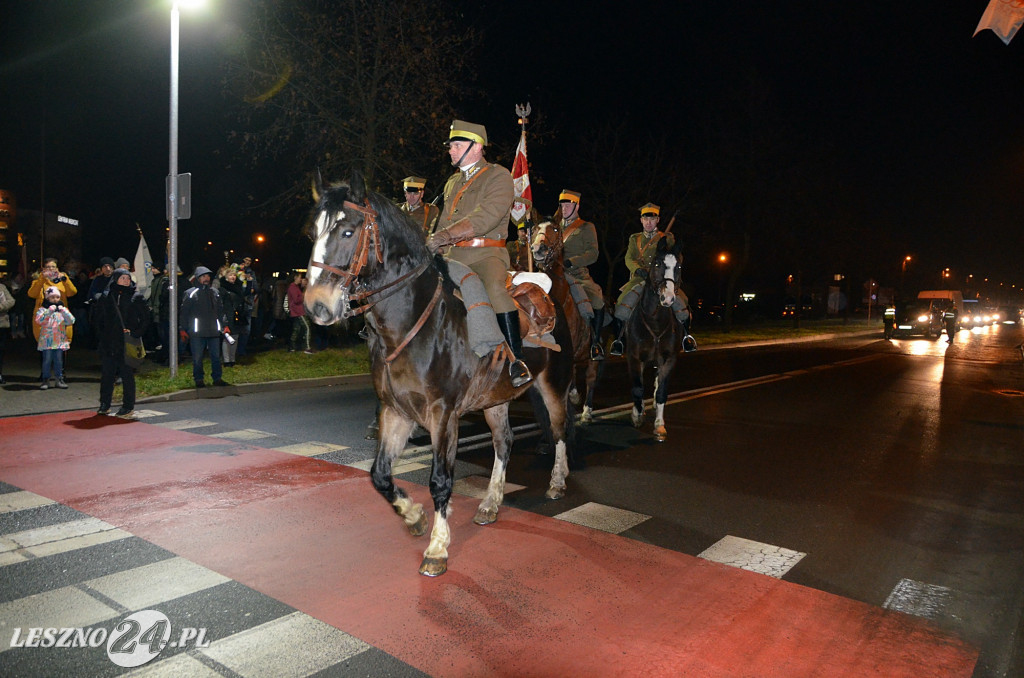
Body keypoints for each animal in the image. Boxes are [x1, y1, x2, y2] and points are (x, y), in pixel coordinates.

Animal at [301, 171, 577, 577]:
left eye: (348, 231)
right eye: (312, 233)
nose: (316, 306)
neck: (413, 321)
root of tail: (550, 294)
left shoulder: (444, 415)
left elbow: (441, 480)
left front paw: (437, 548)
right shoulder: (395, 411)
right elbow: (379, 474)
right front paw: (413, 516)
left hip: (552, 386)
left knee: (559, 431)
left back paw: (557, 482)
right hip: (494, 399)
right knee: (504, 443)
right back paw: (490, 504)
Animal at [532, 220, 602, 426]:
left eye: (555, 229)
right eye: (534, 229)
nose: (538, 249)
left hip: (593, 357)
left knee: (590, 378)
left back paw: (586, 411)